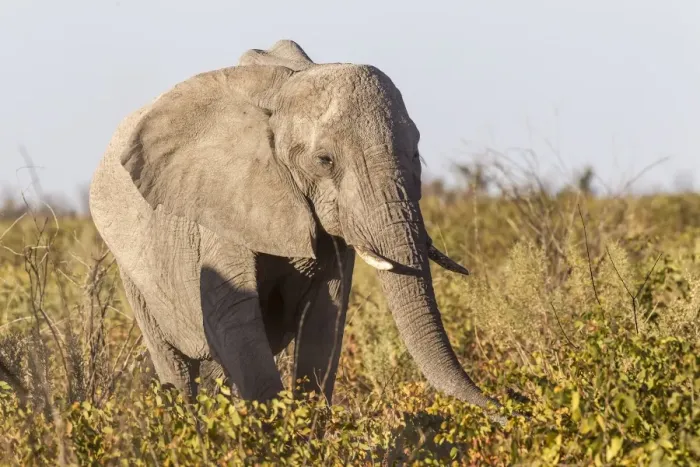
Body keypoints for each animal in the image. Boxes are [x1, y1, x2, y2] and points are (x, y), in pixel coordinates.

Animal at [89, 39, 508, 425]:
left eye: (416, 152)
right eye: (325, 161)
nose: (507, 407)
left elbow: (325, 320)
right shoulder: (221, 205)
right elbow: (235, 319)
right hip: (134, 273)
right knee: (177, 368)